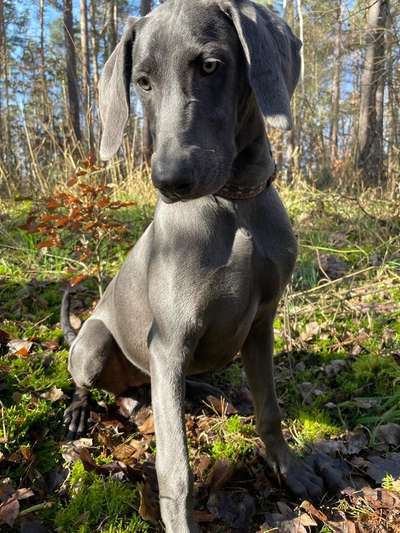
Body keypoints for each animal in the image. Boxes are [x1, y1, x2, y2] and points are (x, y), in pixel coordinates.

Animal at [63, 0, 328, 528]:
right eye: (142, 82)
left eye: (209, 66)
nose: (169, 181)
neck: (233, 204)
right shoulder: (169, 342)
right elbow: (176, 466)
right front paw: (180, 521)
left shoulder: (261, 324)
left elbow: (270, 411)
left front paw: (291, 471)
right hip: (96, 343)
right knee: (87, 379)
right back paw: (82, 410)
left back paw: (204, 390)